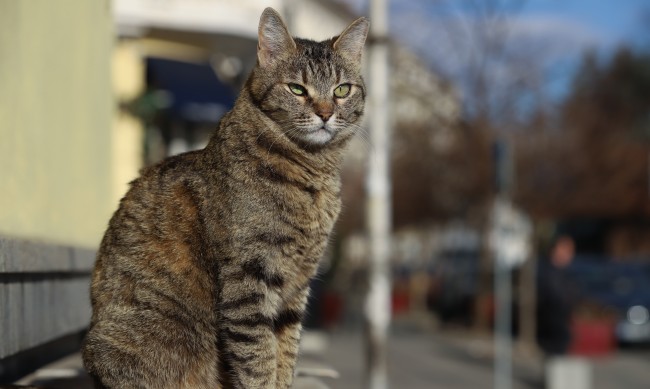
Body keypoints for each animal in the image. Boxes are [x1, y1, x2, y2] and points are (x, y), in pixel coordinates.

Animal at [81, 6, 368, 388]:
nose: (325, 113)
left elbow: (285, 352)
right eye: (297, 89)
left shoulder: (297, 284)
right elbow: (258, 359)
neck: (313, 173)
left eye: (342, 90)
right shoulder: (248, 276)